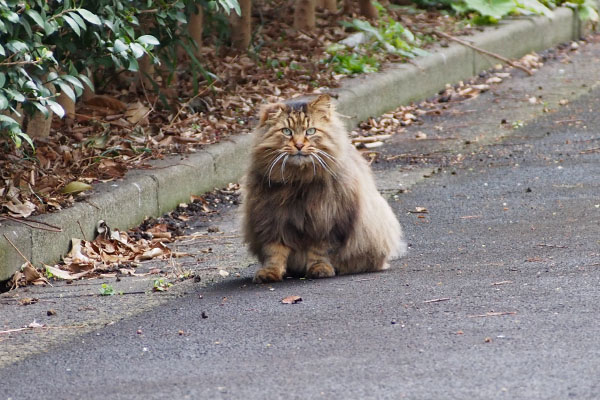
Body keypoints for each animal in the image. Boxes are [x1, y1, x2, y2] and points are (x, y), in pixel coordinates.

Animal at [241, 94, 406, 282]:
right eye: (287, 131)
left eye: (310, 131)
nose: (299, 145)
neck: (298, 181)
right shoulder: (272, 220)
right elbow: (274, 252)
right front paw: (270, 273)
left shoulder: (327, 221)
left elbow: (320, 251)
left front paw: (320, 269)